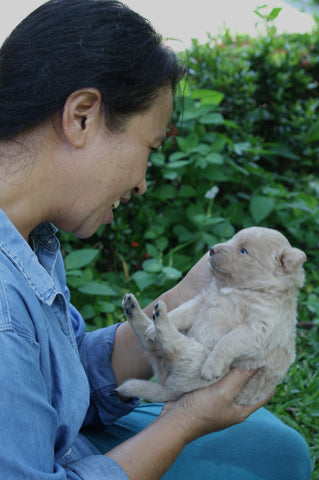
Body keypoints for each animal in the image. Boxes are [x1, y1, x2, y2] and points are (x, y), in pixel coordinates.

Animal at [117, 228, 308, 404]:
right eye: (232, 238)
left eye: (244, 251)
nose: (212, 249)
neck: (235, 289)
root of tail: (170, 389)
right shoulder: (202, 300)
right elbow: (181, 311)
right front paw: (153, 328)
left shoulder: (260, 326)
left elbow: (229, 340)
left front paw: (212, 366)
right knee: (151, 340)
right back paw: (137, 311)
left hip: (195, 359)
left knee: (175, 345)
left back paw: (157, 315)